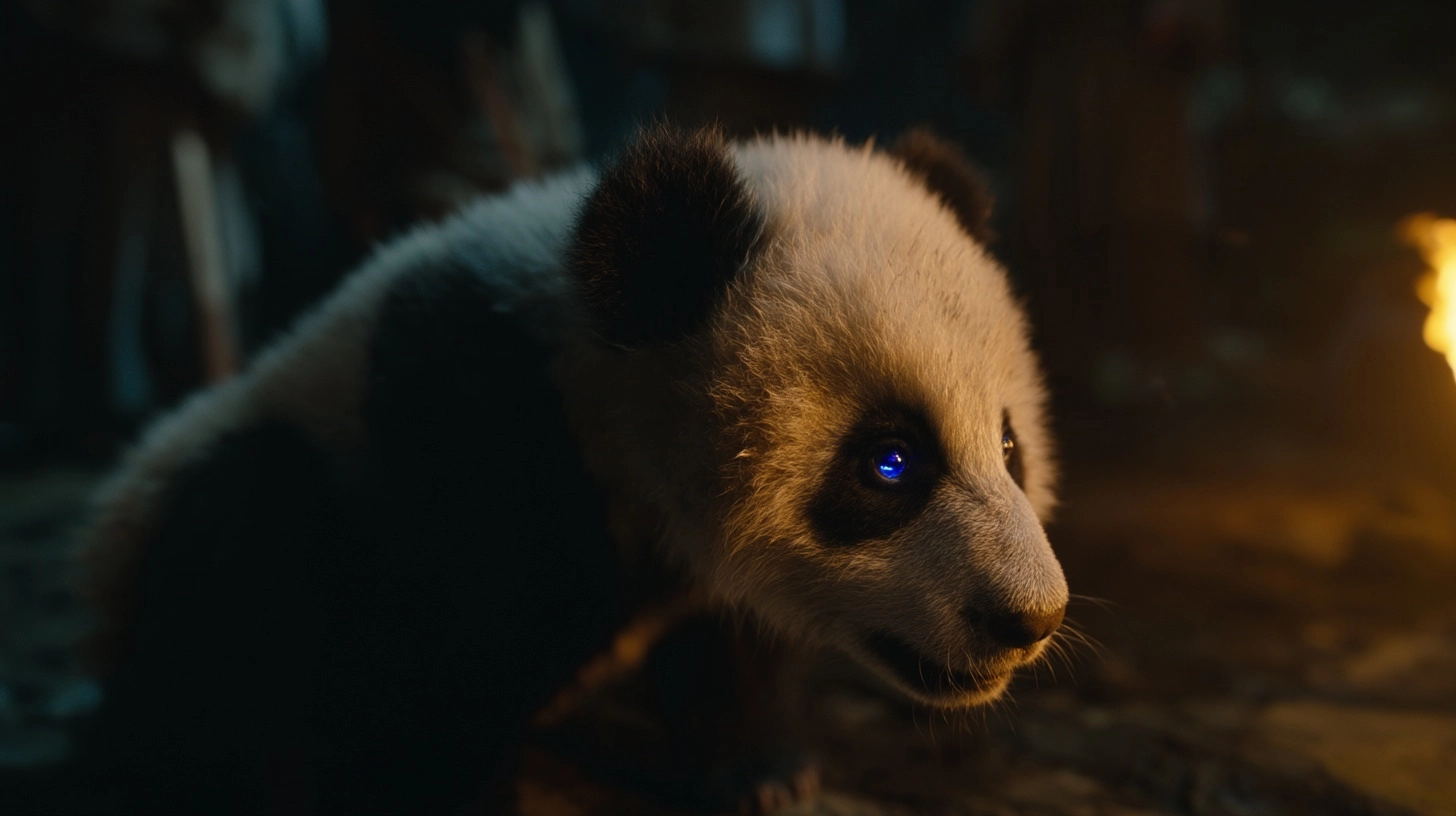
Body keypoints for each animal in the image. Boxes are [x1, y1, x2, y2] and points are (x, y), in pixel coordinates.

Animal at [77, 125, 1068, 814]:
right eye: (889, 463)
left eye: (1009, 448)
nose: (1027, 618)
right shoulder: (466, 417)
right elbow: (444, 666)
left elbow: (730, 639)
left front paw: (760, 771)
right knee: (245, 566)